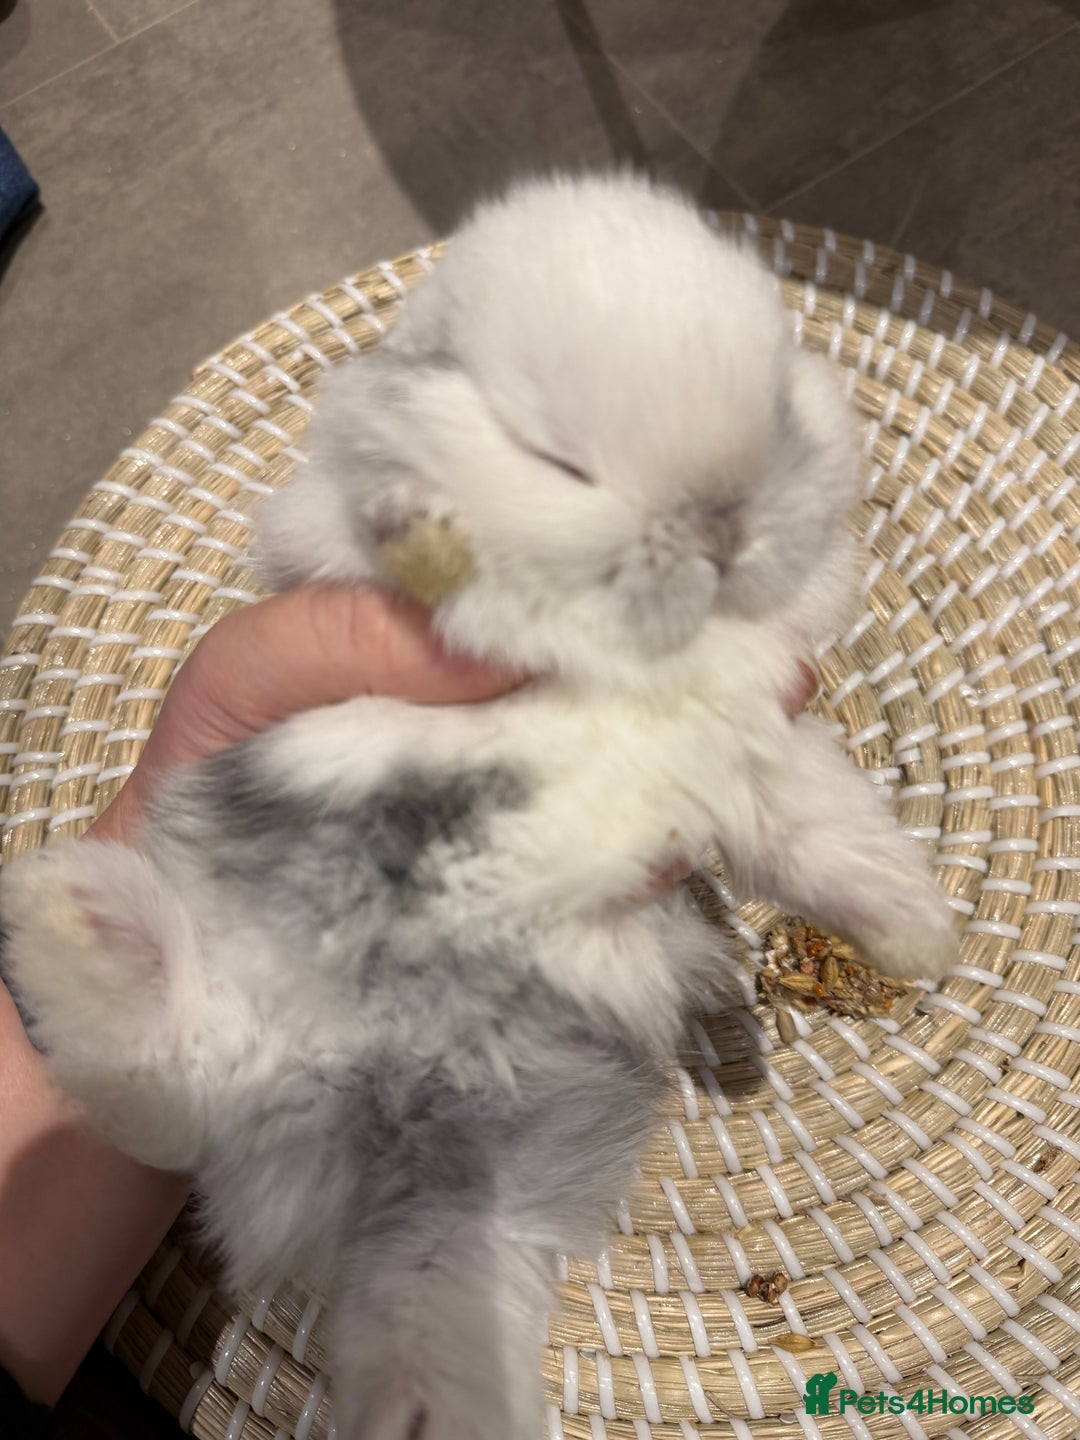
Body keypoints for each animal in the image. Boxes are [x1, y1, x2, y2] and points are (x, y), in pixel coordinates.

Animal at [0, 173, 959, 1440]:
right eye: (554, 458)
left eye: (780, 410)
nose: (722, 527)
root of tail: (342, 1090)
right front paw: (430, 538)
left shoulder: (758, 754)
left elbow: (828, 840)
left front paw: (921, 938)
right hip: (255, 987)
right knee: (162, 1070)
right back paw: (73, 920)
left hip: (472, 1188)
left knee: (403, 1284)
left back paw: (420, 1414)